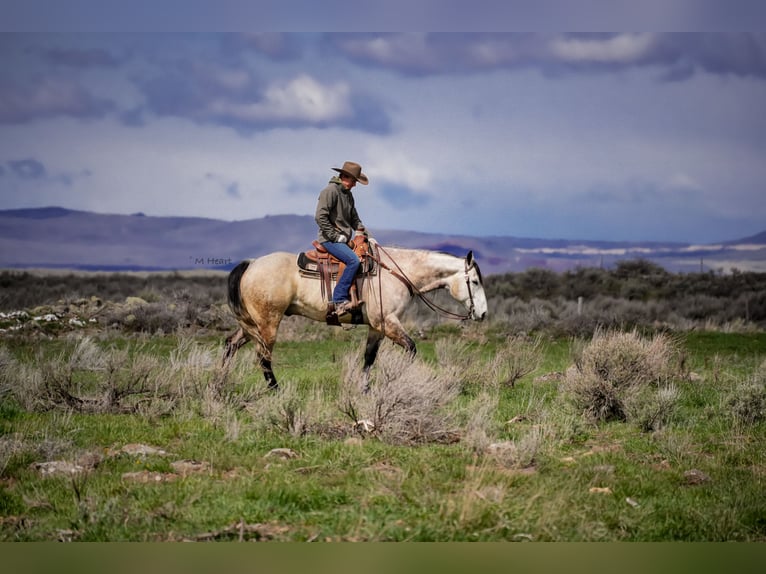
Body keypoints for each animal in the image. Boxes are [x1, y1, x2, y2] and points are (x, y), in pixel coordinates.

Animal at [221, 242, 488, 390]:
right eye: (474, 281)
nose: (483, 314)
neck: (396, 273)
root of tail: (251, 263)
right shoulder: (388, 322)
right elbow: (411, 348)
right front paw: (400, 379)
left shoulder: (377, 327)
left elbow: (369, 358)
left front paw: (365, 388)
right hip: (268, 322)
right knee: (263, 356)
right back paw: (275, 389)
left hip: (252, 324)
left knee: (230, 344)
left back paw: (219, 383)